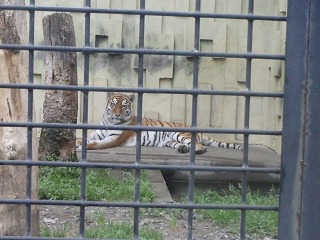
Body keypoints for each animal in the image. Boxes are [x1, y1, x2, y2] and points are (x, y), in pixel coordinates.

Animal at [79, 93, 241, 155]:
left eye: (124, 106)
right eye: (113, 104)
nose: (117, 114)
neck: (110, 121)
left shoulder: (114, 138)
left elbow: (97, 144)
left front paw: (83, 146)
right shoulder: (97, 133)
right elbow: (85, 137)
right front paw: (77, 141)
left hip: (179, 133)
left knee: (201, 146)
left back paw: (196, 151)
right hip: (171, 140)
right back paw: (182, 149)